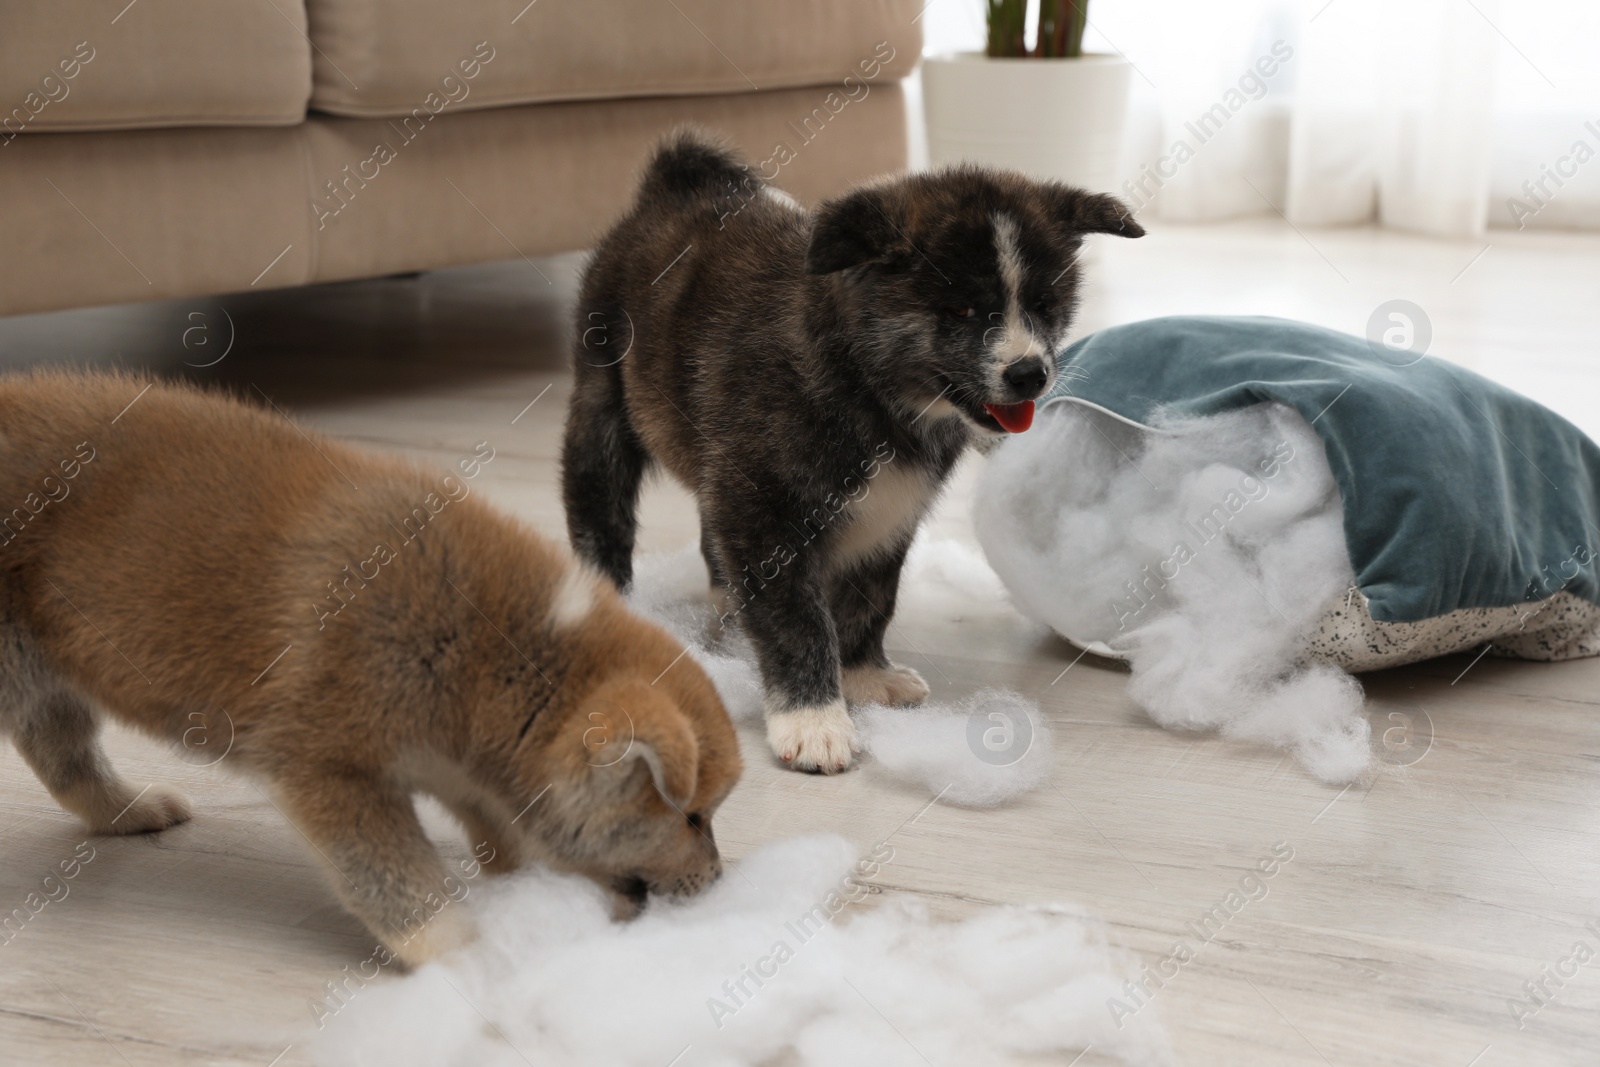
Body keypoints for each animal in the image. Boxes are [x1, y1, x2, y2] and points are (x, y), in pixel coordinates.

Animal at [0, 371, 739, 972]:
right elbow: (401, 884)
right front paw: (466, 947)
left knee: (62, 756)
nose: (718, 879)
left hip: (46, 682)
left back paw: (128, 810)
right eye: (693, 816)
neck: (481, 652)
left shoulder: (462, 771)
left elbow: (502, 839)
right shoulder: (332, 773)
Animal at [563, 129, 1139, 771]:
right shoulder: (767, 510)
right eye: (961, 310)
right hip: (602, 409)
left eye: (1043, 305)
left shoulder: (884, 508)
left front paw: (863, 674)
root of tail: (674, 191)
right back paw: (611, 605)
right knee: (599, 513)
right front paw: (812, 718)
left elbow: (869, 595)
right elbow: (797, 619)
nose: (1029, 373)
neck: (865, 379)